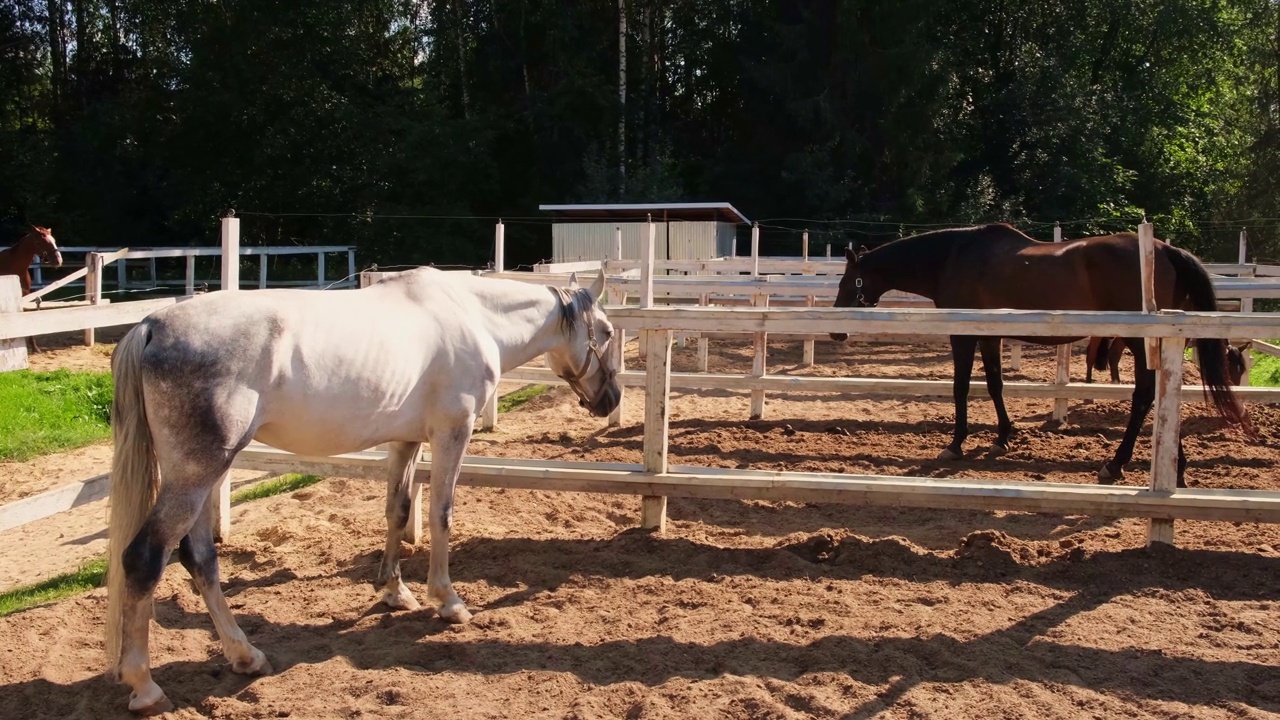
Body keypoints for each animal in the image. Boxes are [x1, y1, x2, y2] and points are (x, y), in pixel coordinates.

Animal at [102, 265, 622, 712]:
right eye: (608, 332)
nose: (610, 400)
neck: (474, 316)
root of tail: (151, 325)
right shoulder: (452, 432)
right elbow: (441, 513)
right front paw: (447, 601)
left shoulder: (406, 439)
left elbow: (398, 509)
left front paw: (394, 591)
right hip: (197, 473)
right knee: (145, 559)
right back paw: (145, 685)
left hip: (201, 475)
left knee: (199, 558)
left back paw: (245, 656)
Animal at [829, 221, 1249, 484]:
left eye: (849, 281)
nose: (836, 329)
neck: (953, 257)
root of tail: (1165, 249)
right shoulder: (990, 336)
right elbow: (995, 385)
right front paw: (1003, 436)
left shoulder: (962, 334)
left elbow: (961, 388)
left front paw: (956, 443)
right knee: (1160, 394)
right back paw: (1174, 467)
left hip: (1137, 340)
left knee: (1145, 394)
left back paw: (1115, 464)